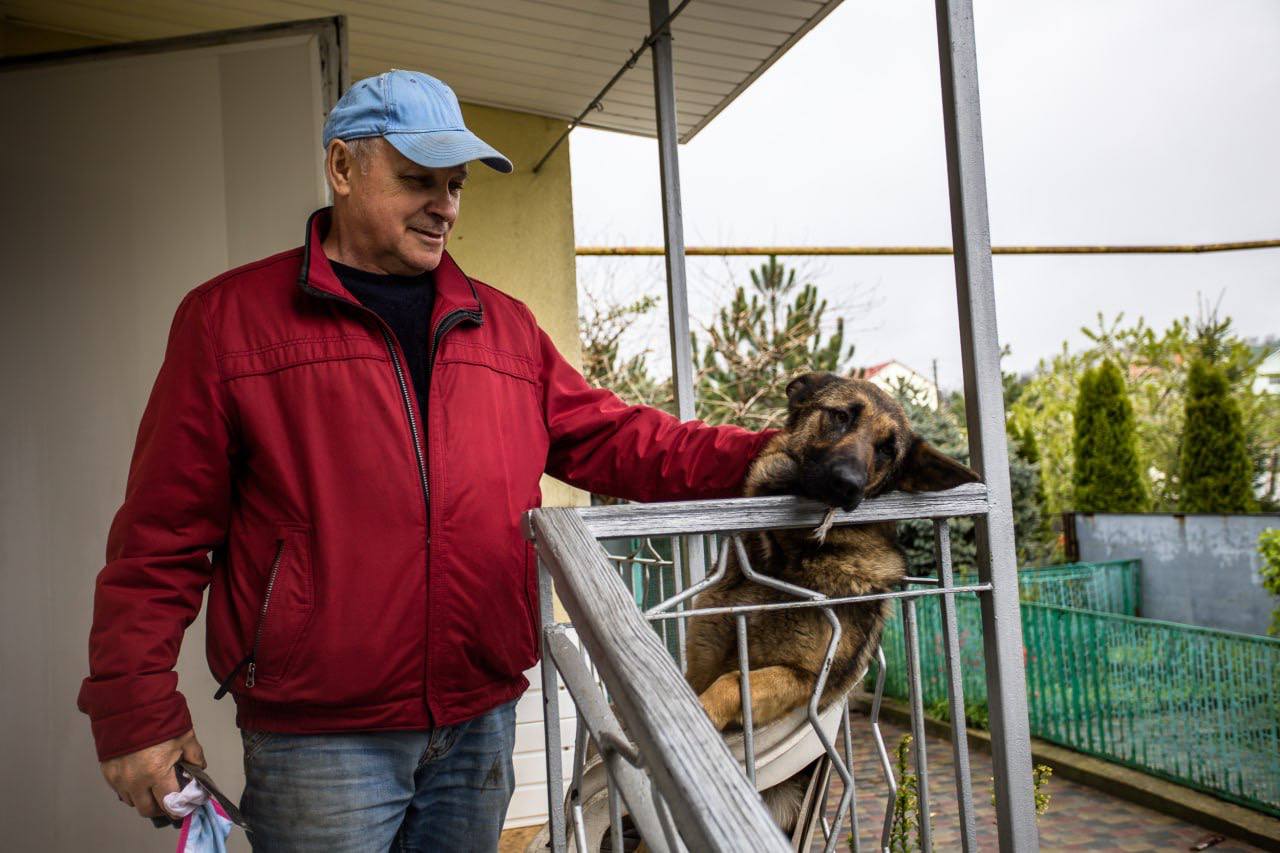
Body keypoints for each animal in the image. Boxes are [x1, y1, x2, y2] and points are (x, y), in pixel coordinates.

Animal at [686, 371, 972, 824]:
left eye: (887, 449)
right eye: (840, 416)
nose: (846, 485)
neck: (781, 561)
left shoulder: (805, 682)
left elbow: (732, 681)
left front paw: (704, 714)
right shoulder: (700, 664)